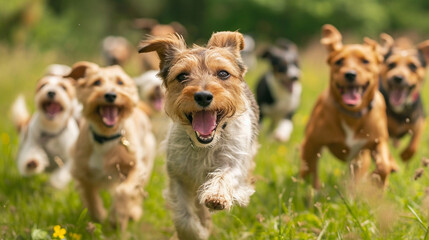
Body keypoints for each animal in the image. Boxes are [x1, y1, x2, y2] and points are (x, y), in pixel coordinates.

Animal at [66, 61, 155, 230]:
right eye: (96, 82)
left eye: (120, 82)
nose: (110, 95)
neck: (106, 138)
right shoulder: (82, 171)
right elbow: (90, 195)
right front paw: (98, 215)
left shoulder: (136, 167)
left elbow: (124, 191)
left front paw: (116, 218)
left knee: (137, 193)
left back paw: (133, 212)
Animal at [138, 31, 258, 239]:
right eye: (182, 75)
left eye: (223, 73)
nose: (203, 96)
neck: (205, 145)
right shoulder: (178, 177)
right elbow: (184, 216)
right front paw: (198, 232)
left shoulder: (235, 160)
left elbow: (226, 174)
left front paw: (217, 196)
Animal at [300, 24, 398, 189]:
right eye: (339, 61)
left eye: (365, 61)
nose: (350, 74)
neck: (352, 115)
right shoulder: (312, 143)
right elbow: (309, 170)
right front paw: (307, 189)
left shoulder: (377, 141)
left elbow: (383, 166)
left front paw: (376, 180)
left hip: (360, 159)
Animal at [378, 33, 428, 161]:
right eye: (391, 64)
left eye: (413, 66)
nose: (398, 78)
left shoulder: (420, 121)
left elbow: (414, 142)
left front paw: (405, 155)